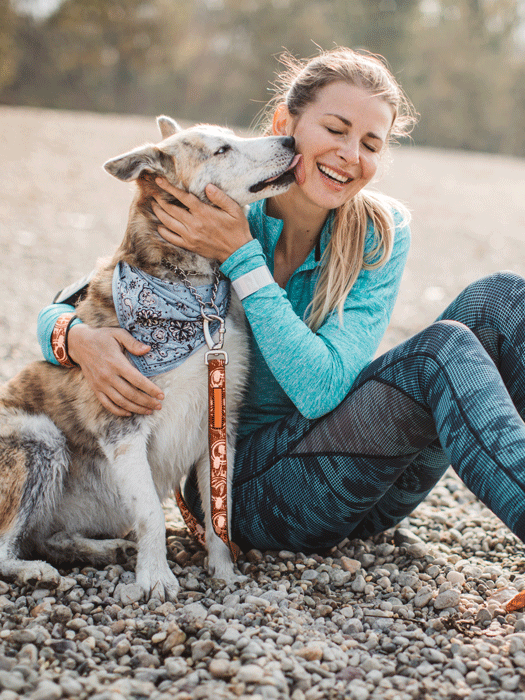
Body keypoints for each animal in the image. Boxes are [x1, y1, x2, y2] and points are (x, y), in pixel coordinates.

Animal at [0, 116, 296, 600]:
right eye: (222, 150)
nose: (291, 140)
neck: (194, 297)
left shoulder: (220, 424)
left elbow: (221, 513)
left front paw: (224, 571)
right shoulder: (124, 428)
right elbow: (152, 516)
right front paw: (156, 578)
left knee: (47, 537)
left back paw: (101, 550)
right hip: (39, 438)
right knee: (9, 546)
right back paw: (34, 572)